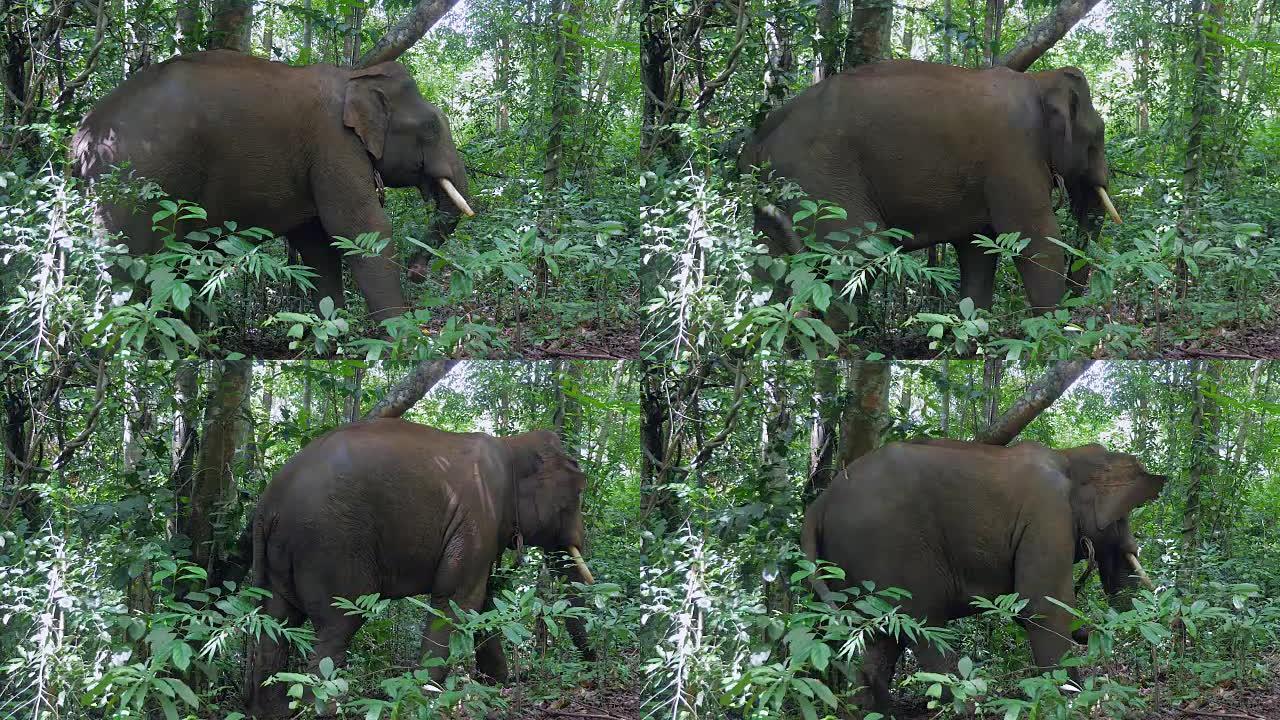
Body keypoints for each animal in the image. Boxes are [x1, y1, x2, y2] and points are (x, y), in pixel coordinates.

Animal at [70, 49, 473, 320]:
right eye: (431, 128)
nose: (418, 274)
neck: (356, 76)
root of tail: (80, 139)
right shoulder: (333, 143)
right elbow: (360, 228)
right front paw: (400, 339)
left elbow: (318, 246)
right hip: (131, 181)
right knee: (130, 265)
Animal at [244, 417, 593, 712]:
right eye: (578, 492)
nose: (591, 670)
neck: (510, 446)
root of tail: (267, 506)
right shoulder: (479, 514)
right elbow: (457, 598)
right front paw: (427, 696)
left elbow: (485, 599)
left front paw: (496, 686)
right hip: (330, 545)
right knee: (336, 628)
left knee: (274, 628)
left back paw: (273, 711)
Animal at [742, 61, 1121, 325]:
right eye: (1097, 137)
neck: (1038, 81)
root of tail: (757, 140)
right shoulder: (1013, 154)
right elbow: (1034, 237)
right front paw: (1054, 333)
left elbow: (978, 250)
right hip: (822, 173)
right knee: (862, 250)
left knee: (771, 261)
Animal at [803, 438, 1167, 712]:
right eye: (1123, 516)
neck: (1068, 455)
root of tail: (817, 506)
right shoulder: (1047, 513)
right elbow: (1043, 605)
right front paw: (1070, 701)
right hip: (891, 550)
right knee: (923, 626)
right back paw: (961, 708)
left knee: (877, 638)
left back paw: (880, 713)